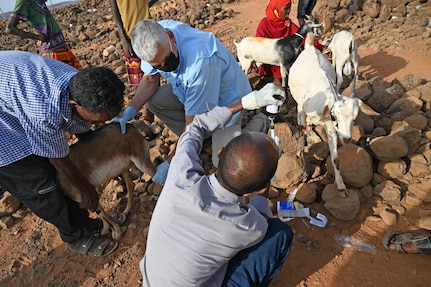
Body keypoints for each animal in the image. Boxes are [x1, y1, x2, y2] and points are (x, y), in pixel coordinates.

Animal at [288, 33, 380, 196]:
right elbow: (302, 122)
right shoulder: (307, 110)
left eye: (355, 118)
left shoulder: (330, 127)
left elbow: (336, 159)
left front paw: (341, 185)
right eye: (335, 116)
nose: (347, 138)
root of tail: (310, 46)